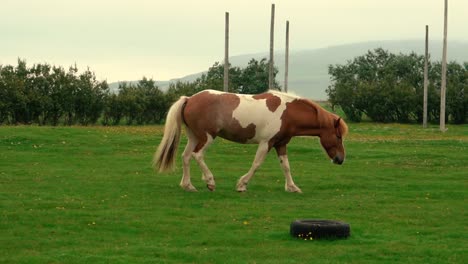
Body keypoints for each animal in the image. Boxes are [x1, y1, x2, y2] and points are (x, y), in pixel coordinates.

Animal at [154, 89, 348, 193]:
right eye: (338, 136)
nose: (340, 159)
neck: (288, 113)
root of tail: (188, 99)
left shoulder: (280, 144)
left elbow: (286, 166)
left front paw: (292, 187)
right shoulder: (266, 143)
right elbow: (256, 164)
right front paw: (242, 185)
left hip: (194, 137)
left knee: (186, 157)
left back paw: (188, 185)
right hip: (207, 137)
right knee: (197, 155)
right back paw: (210, 182)